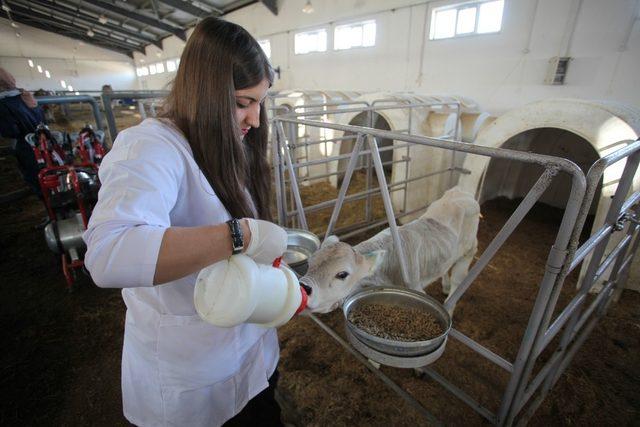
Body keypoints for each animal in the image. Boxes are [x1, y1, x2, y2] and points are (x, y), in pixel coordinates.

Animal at [300, 187, 480, 314]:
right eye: (309, 263)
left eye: (342, 274)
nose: (304, 287)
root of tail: (460, 191)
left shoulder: (416, 287)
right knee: (445, 266)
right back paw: (445, 284)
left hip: (470, 248)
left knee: (458, 277)